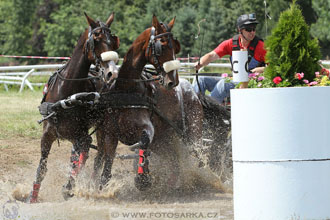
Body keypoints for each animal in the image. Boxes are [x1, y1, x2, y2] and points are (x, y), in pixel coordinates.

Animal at [27, 11, 120, 203]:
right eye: (96, 39)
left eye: (113, 41)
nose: (112, 73)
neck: (66, 95)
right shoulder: (48, 135)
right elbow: (42, 169)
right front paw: (32, 197)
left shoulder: (80, 136)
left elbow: (76, 163)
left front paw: (68, 188)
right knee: (95, 155)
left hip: (105, 127)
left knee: (103, 154)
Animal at [93, 15, 206, 191]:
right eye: (162, 47)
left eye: (175, 48)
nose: (173, 81)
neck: (127, 91)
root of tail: (192, 91)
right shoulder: (110, 134)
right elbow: (107, 165)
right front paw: (102, 187)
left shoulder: (147, 128)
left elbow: (143, 142)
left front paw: (143, 178)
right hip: (164, 139)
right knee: (174, 161)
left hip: (192, 131)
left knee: (195, 156)